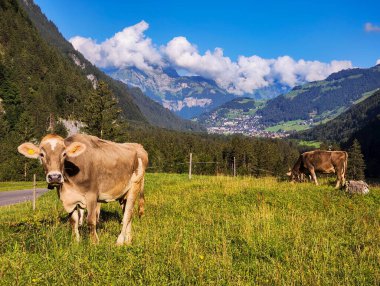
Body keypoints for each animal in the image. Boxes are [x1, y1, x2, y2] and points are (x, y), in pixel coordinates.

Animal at [18, 134, 148, 246]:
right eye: (41, 154)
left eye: (64, 154)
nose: (54, 177)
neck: (69, 183)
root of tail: (138, 146)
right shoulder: (69, 199)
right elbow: (74, 222)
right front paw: (76, 242)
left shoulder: (92, 195)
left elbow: (90, 221)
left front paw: (94, 243)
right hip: (123, 194)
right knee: (128, 213)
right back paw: (128, 240)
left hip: (135, 185)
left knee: (127, 214)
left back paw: (120, 241)